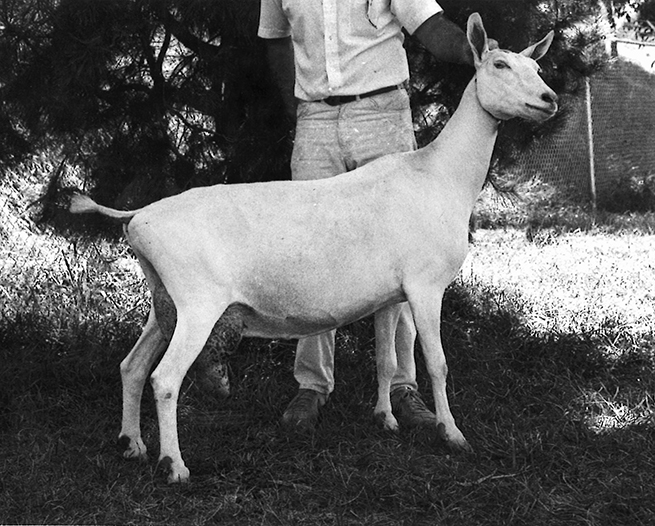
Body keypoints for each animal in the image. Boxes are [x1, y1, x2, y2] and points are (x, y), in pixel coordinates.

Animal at [70, 13, 558, 483]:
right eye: (499, 65)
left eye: (537, 69)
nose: (549, 98)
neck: (440, 175)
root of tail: (138, 216)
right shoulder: (426, 285)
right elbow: (437, 363)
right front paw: (453, 435)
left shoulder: (390, 294)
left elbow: (385, 358)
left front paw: (386, 419)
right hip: (197, 302)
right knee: (165, 378)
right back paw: (174, 466)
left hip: (163, 299)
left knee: (132, 367)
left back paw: (131, 444)